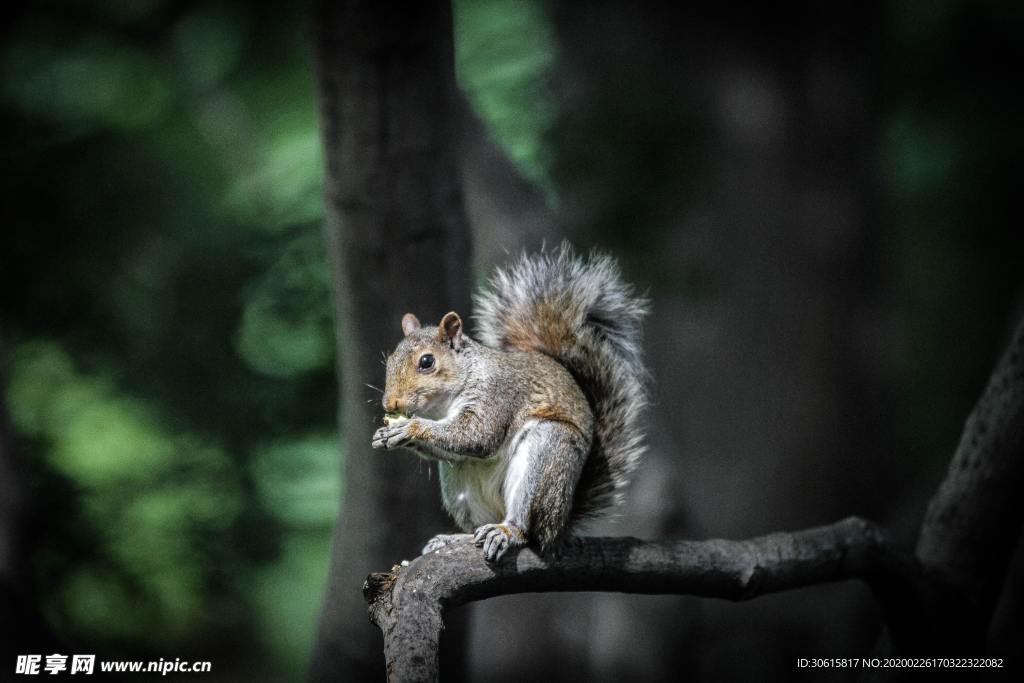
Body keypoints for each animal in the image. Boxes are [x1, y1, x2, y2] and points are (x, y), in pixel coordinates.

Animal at [372, 244, 647, 561]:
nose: (390, 405)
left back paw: (507, 531)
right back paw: (455, 539)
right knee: (474, 522)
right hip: (458, 485)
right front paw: (385, 434)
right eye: (391, 359)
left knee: (528, 528)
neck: (442, 406)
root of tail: (560, 528)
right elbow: (455, 448)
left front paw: (409, 428)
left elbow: (477, 436)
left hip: (546, 458)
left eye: (427, 362)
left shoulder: (498, 394)